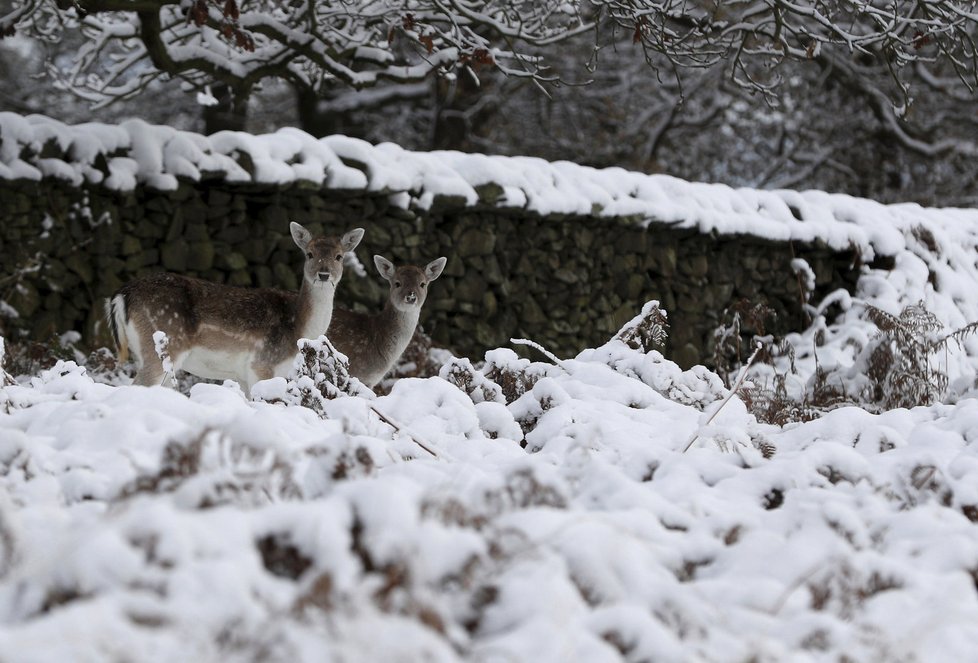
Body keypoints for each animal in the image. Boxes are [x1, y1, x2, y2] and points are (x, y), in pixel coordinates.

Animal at [105, 223, 362, 392]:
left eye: (339, 256)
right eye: (309, 253)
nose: (323, 274)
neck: (298, 328)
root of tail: (122, 295)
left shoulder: (242, 376)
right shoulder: (262, 364)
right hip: (162, 345)